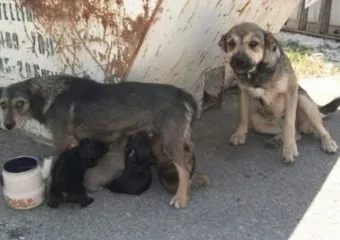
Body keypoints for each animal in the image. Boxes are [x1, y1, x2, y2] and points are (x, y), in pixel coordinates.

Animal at [0, 76, 201, 209]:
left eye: (20, 103)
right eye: (2, 104)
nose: (7, 125)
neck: (51, 94)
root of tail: (181, 93)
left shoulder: (62, 141)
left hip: (170, 142)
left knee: (183, 169)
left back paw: (181, 197)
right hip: (161, 139)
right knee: (186, 158)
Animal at [219, 22, 338, 163]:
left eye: (254, 43)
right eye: (231, 43)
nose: (238, 61)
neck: (257, 71)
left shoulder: (291, 92)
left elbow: (289, 124)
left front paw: (289, 148)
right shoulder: (243, 92)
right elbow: (242, 117)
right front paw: (239, 134)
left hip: (305, 103)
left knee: (318, 130)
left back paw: (328, 142)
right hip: (257, 121)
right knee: (297, 134)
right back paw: (276, 140)